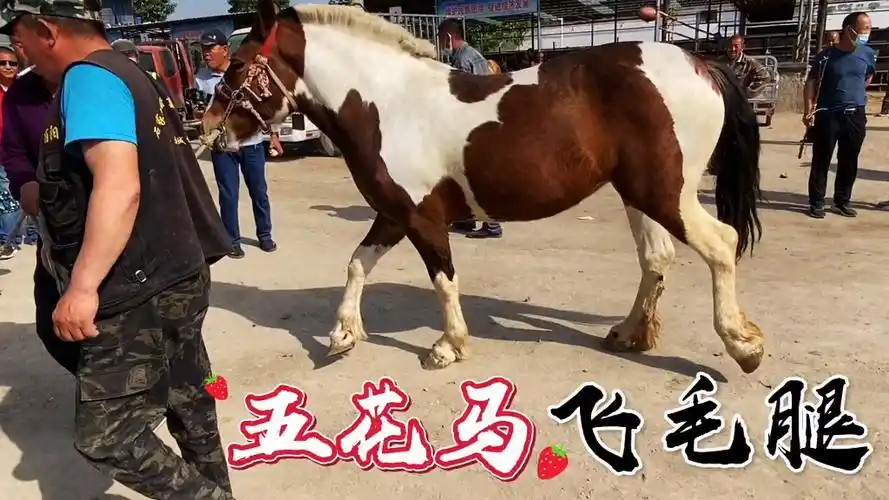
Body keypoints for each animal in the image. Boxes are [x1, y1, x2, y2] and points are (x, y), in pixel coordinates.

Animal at [201, 0, 766, 375]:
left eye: (237, 65)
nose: (210, 131)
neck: (387, 104)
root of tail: (700, 63)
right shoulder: (393, 214)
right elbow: (357, 264)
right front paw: (342, 334)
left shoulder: (423, 220)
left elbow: (444, 280)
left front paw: (448, 346)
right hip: (640, 195)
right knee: (656, 259)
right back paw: (629, 333)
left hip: (667, 195)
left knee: (721, 245)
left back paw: (743, 346)